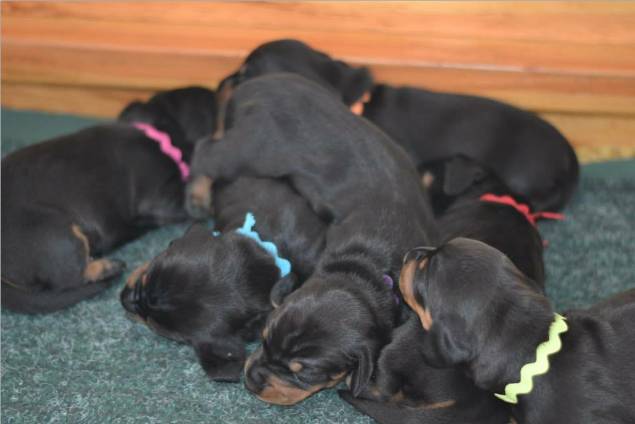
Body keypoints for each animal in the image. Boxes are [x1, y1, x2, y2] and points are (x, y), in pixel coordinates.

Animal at [188, 73, 438, 404]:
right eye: (264, 339)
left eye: (303, 373)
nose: (251, 380)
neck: (365, 264)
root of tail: (254, 85)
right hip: (250, 151)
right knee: (205, 150)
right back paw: (197, 195)